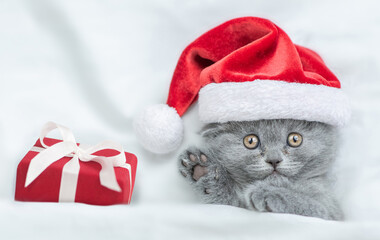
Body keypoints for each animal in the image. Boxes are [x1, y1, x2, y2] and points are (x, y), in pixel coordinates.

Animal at [179, 119, 344, 220]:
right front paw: (205, 171)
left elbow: (309, 204)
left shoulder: (331, 212)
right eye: (250, 141)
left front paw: (269, 194)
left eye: (295, 139)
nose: (274, 160)